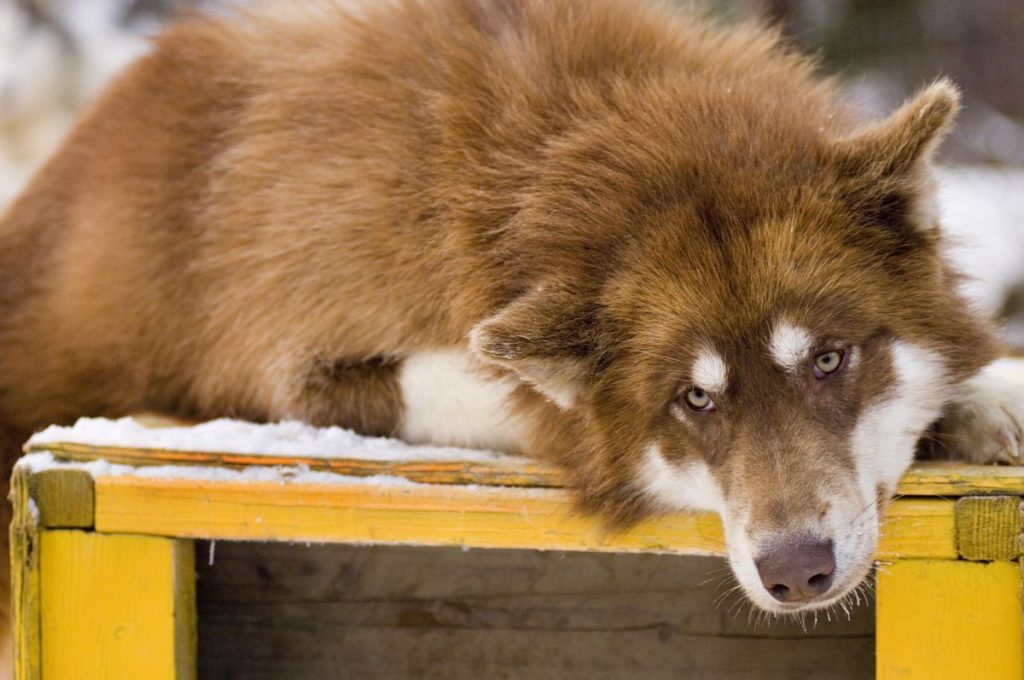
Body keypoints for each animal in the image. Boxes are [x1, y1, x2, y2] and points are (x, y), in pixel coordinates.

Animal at [0, 0, 1019, 630]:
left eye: (829, 361)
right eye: (694, 401)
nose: (796, 570)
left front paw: (985, 397)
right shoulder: (291, 368)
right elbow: (518, 395)